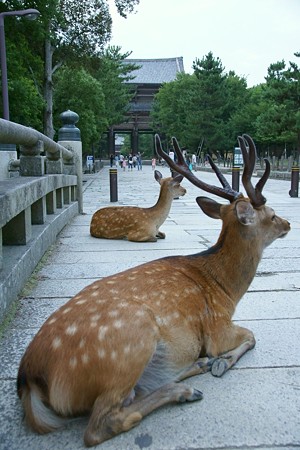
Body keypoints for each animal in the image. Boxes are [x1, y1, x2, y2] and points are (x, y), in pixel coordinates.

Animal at [17, 134, 290, 446]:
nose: (288, 223)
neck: (225, 288)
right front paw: (222, 362)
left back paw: (194, 368)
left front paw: (213, 363)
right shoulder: (217, 327)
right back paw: (184, 389)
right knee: (103, 423)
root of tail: (29, 377)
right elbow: (251, 336)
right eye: (271, 215)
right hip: (131, 343)